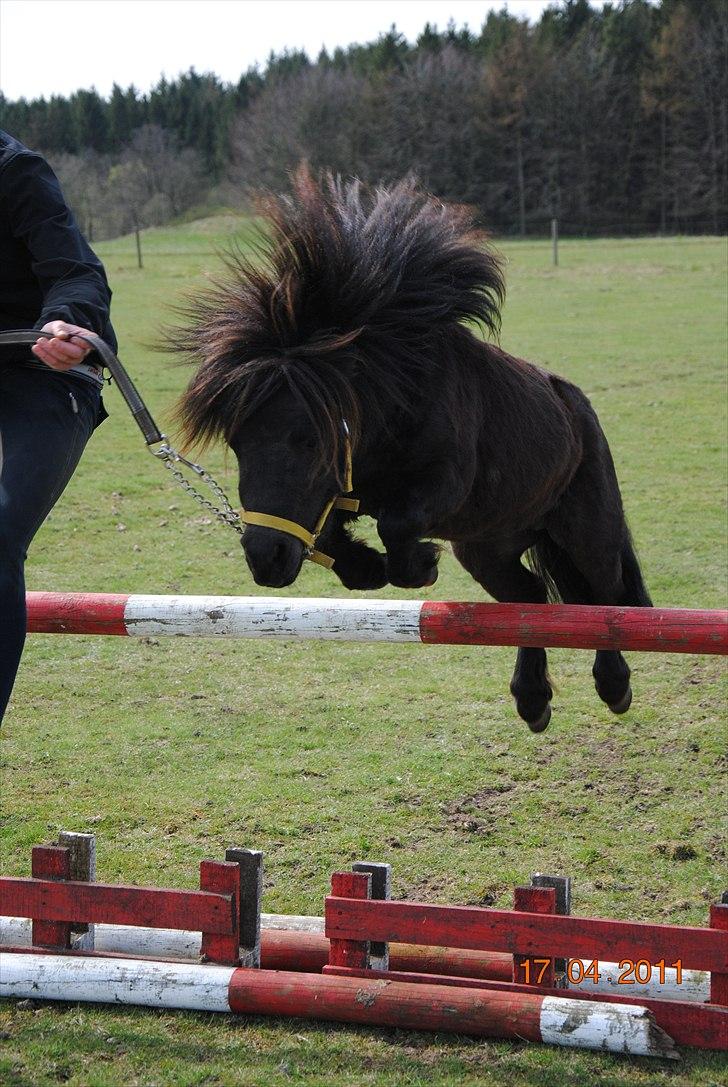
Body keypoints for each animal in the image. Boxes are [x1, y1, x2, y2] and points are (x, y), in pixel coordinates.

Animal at [173, 167, 651, 730]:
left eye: (310, 440)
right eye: (236, 442)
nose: (265, 559)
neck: (397, 399)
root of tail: (577, 407)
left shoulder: (443, 483)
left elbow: (397, 525)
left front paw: (419, 565)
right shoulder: (342, 494)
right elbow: (335, 534)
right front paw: (365, 569)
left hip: (586, 530)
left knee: (604, 598)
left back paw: (614, 686)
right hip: (488, 546)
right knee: (530, 600)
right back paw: (533, 702)